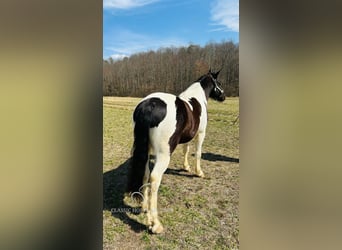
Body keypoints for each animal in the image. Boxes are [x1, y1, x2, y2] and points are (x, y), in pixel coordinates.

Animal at [125, 69, 224, 233]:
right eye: (219, 83)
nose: (224, 96)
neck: (196, 99)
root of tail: (149, 105)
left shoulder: (188, 136)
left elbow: (186, 150)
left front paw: (186, 167)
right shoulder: (200, 134)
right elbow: (198, 153)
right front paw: (199, 172)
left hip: (146, 150)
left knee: (145, 173)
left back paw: (145, 207)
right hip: (164, 155)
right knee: (154, 178)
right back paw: (155, 224)